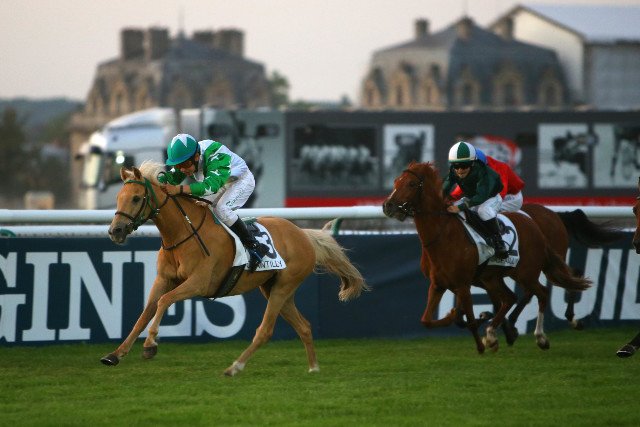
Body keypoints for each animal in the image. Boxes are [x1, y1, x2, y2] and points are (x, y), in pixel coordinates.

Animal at [101, 161, 368, 376]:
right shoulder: (163, 279)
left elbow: (165, 301)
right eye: (119, 198)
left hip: (284, 286)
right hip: (274, 289)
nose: (115, 231)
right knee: (304, 326)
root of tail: (303, 235)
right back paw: (313, 367)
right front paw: (115, 354)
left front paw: (150, 345)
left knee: (265, 330)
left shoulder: (199, 283)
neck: (183, 234)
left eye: (136, 198)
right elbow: (146, 312)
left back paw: (235, 367)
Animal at [382, 161, 591, 353]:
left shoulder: (462, 284)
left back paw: (540, 336)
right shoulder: (439, 284)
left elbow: (468, 319)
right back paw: (495, 333)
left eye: (410, 184)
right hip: (492, 277)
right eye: (396, 181)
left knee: (541, 293)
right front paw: (474, 323)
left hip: (526, 272)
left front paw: (480, 340)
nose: (388, 206)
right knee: (510, 298)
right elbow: (427, 320)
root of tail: (534, 224)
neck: (442, 235)